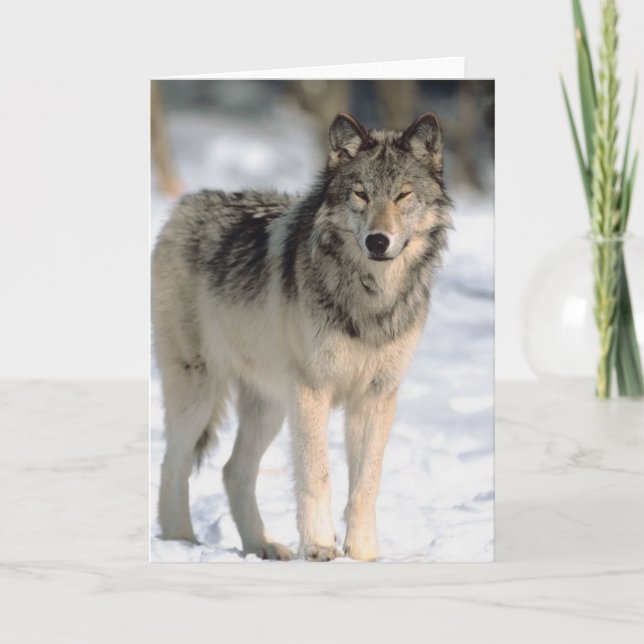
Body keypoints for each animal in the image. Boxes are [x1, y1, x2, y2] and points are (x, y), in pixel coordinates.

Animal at [152, 112, 452, 561]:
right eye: (361, 194)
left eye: (402, 195)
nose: (378, 240)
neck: (370, 298)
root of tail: (185, 206)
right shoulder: (314, 389)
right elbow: (317, 475)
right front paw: (319, 546)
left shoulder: (377, 396)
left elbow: (366, 484)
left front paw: (363, 554)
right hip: (200, 392)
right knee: (174, 463)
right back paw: (181, 541)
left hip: (271, 405)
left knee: (233, 470)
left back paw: (262, 545)